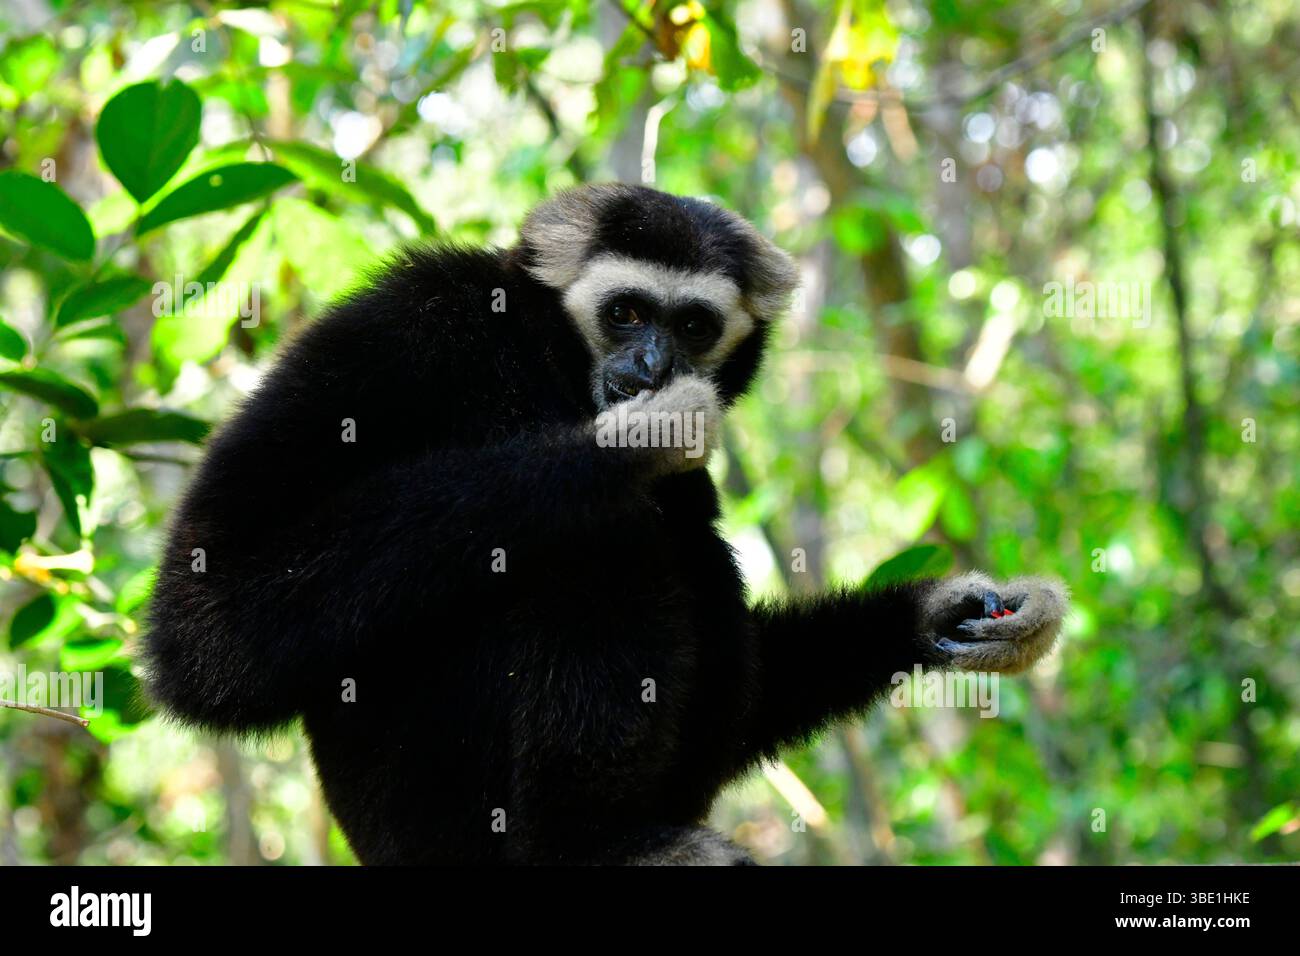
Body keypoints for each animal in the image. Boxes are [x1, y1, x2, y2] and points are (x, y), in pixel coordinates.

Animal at [143, 183, 1067, 865]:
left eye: (693, 324)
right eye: (624, 313)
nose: (654, 364)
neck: (537, 357)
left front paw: (945, 616)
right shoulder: (411, 319)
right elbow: (208, 622)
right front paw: (640, 440)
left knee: (691, 544)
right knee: (609, 537)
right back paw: (589, 844)